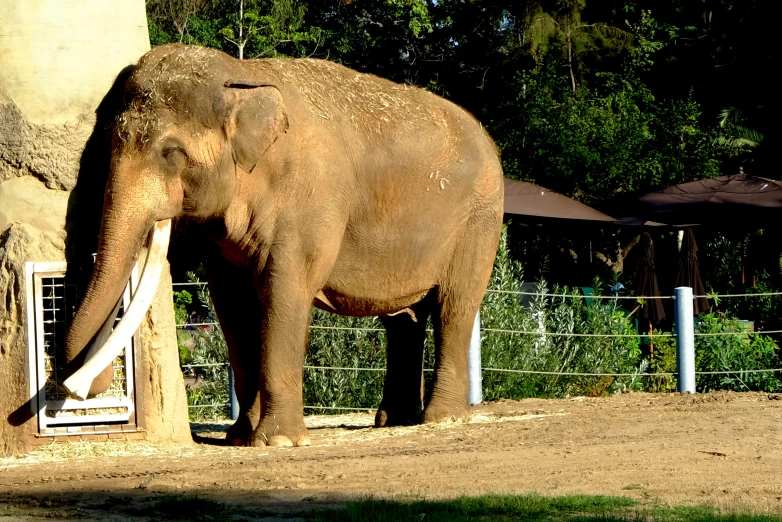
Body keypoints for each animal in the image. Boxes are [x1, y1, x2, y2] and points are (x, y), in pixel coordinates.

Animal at [64, 41, 506, 446]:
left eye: (171, 153)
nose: (76, 389)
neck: (243, 76)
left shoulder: (309, 201)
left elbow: (286, 289)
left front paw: (278, 441)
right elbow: (232, 303)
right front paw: (240, 438)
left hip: (479, 219)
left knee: (454, 307)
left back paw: (443, 419)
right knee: (404, 319)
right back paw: (395, 420)